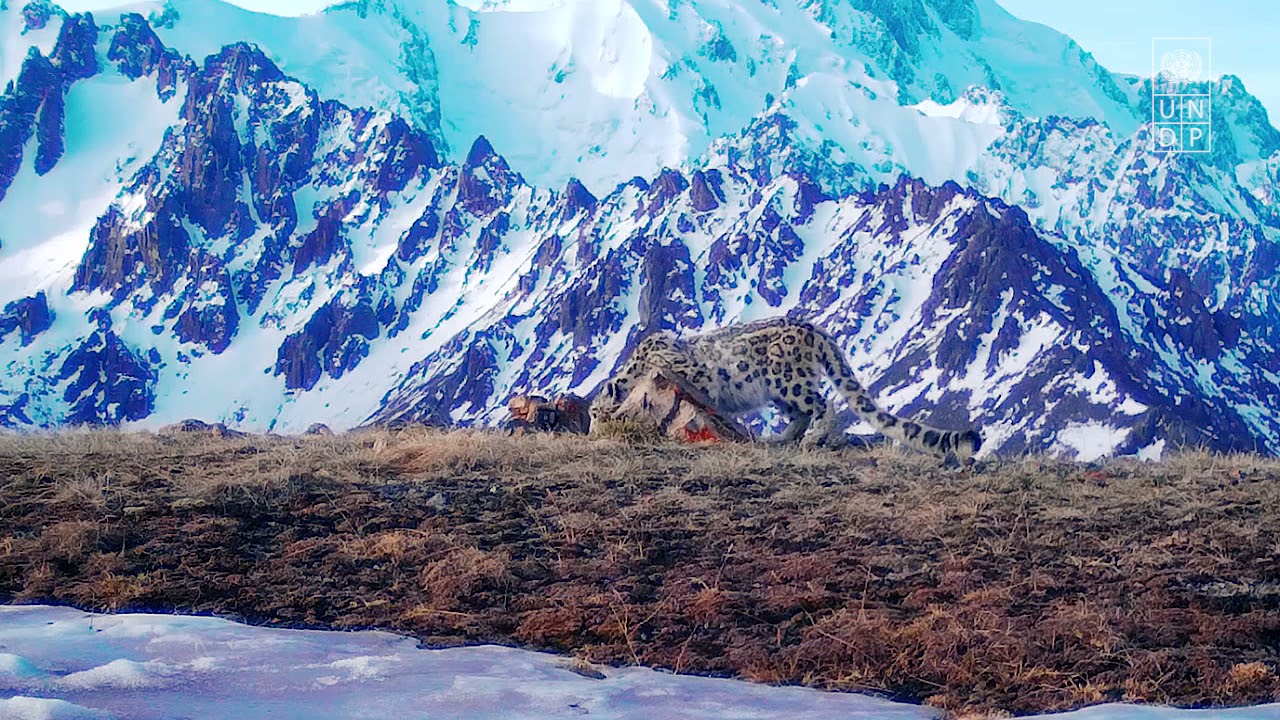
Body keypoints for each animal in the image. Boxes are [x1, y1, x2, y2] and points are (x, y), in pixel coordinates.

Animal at [589, 317, 982, 461]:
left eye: (593, 413)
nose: (589, 433)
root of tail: (815, 330)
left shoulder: (695, 373)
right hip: (780, 391)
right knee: (801, 413)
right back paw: (781, 438)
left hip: (788, 379)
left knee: (823, 404)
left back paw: (813, 438)